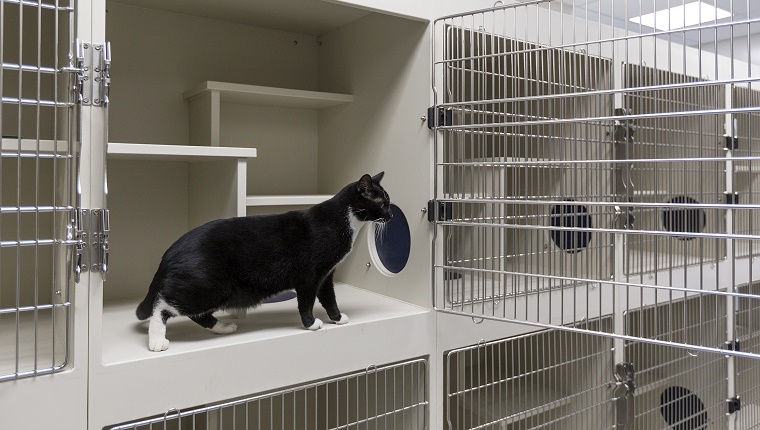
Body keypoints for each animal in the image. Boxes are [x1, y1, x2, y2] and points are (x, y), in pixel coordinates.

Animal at [134, 173, 392, 352]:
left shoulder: (326, 274)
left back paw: (223, 328)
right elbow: (306, 302)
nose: (390, 216)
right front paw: (311, 324)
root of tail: (170, 251)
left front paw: (337, 318)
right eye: (382, 203)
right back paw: (157, 340)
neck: (344, 219)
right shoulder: (308, 274)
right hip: (208, 287)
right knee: (163, 306)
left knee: (197, 314)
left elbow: (329, 298)